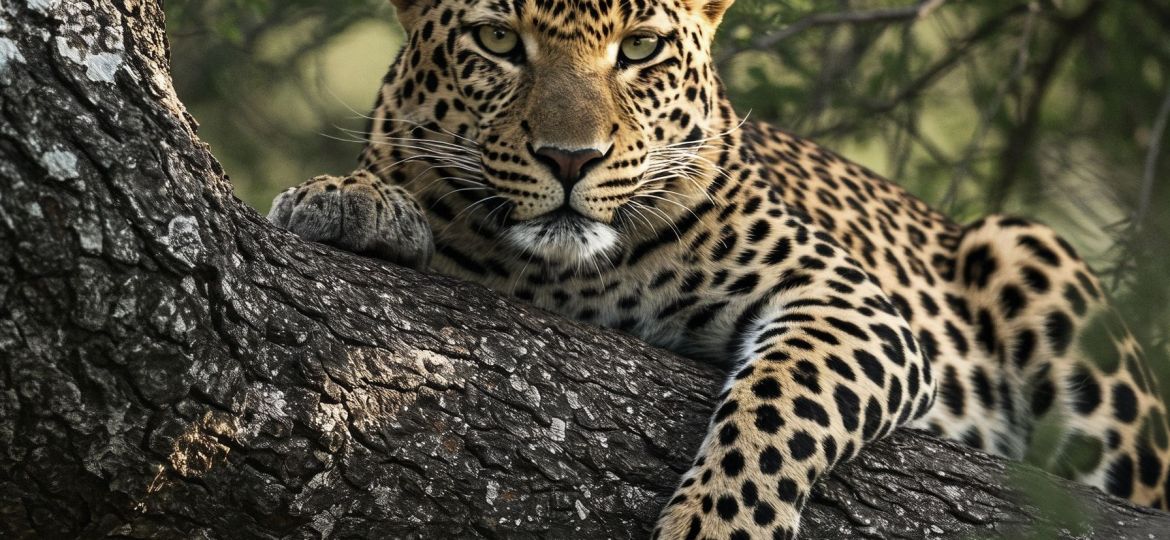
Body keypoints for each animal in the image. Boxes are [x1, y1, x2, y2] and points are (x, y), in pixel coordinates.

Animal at [266, 0, 1170, 537]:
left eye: (640, 49)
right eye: (497, 40)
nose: (570, 159)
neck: (560, 275)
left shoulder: (852, 305)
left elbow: (780, 405)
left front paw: (714, 526)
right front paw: (349, 199)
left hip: (1033, 261)